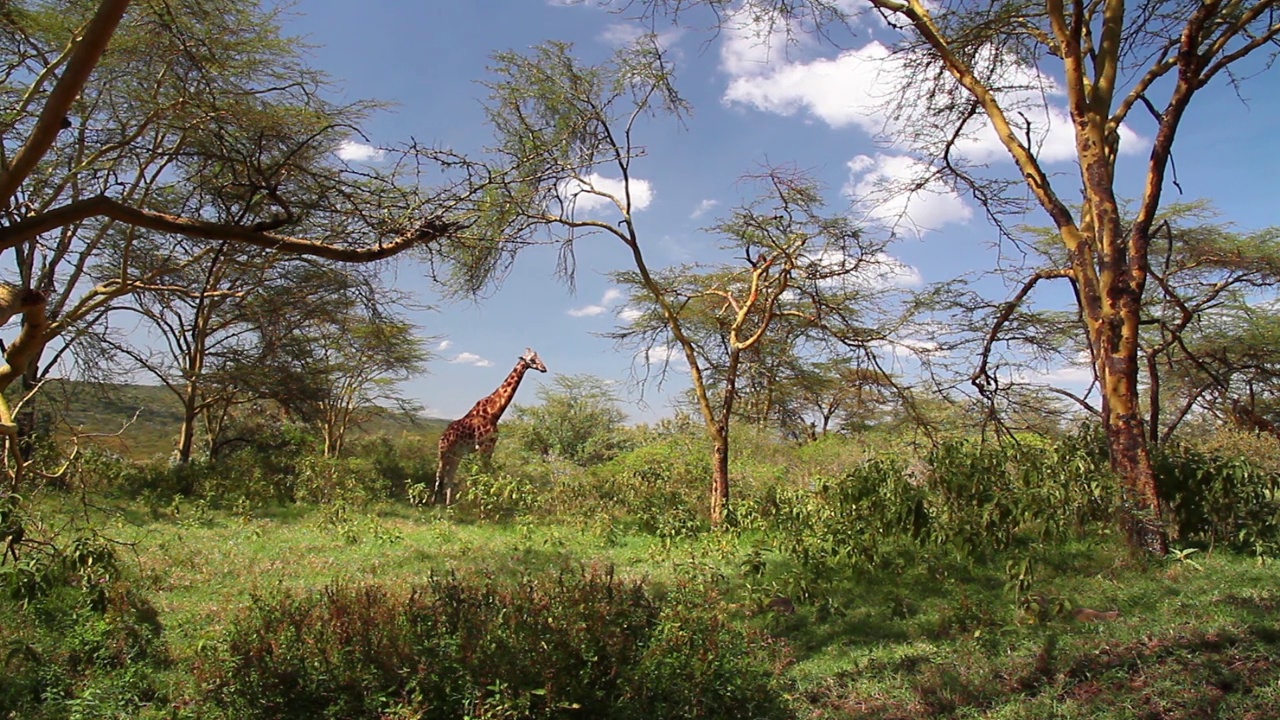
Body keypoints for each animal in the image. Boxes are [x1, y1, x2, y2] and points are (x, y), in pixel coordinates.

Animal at [432, 345, 547, 502]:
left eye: (538, 357)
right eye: (532, 360)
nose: (544, 368)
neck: (494, 413)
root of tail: (442, 436)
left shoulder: (491, 446)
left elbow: (486, 473)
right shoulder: (484, 446)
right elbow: (483, 473)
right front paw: (482, 502)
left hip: (457, 454)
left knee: (450, 476)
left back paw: (449, 504)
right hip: (444, 451)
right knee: (439, 474)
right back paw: (433, 502)